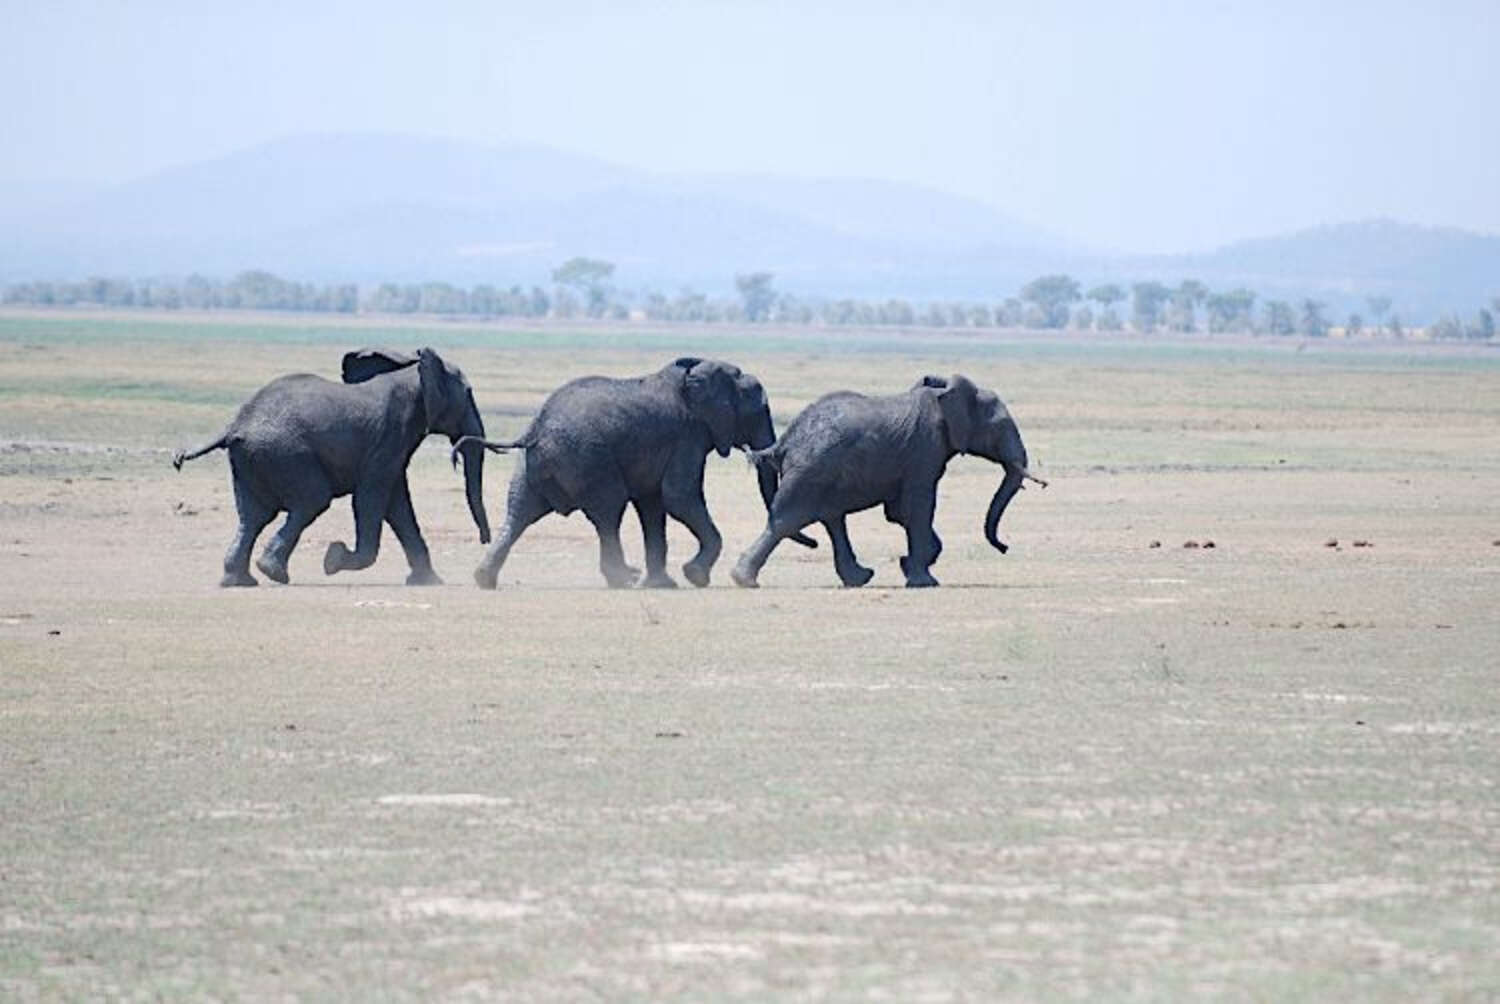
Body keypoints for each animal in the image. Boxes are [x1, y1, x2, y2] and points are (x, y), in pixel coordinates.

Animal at [172, 347, 491, 587]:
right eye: (469, 393)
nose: (484, 541)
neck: (413, 373)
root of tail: (234, 427)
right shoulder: (389, 439)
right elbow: (372, 499)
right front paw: (334, 560)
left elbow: (397, 505)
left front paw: (428, 582)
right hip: (286, 454)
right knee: (311, 501)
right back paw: (274, 573)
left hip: (252, 461)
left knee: (253, 517)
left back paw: (240, 581)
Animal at [458, 356, 813, 589]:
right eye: (760, 410)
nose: (813, 544)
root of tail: (534, 430)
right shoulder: (688, 435)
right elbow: (679, 498)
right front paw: (694, 576)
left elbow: (654, 505)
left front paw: (664, 584)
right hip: (588, 459)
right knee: (608, 511)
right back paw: (624, 579)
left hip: (534, 466)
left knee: (519, 512)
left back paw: (484, 579)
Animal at [731, 374, 1045, 588]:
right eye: (1000, 427)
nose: (1004, 548)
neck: (944, 396)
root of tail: (785, 441)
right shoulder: (925, 450)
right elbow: (919, 506)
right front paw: (923, 580)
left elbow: (900, 513)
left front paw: (912, 564)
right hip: (810, 471)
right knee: (788, 520)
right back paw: (744, 580)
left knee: (832, 519)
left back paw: (860, 578)